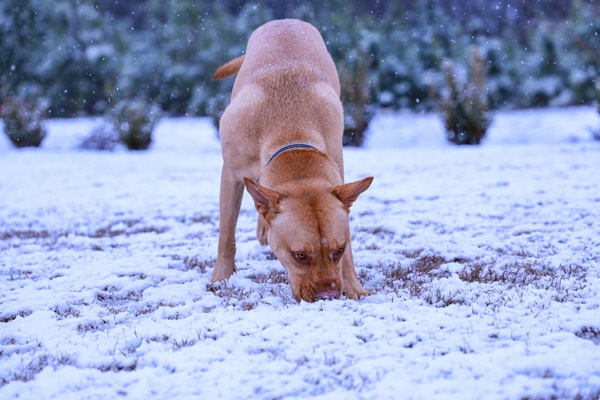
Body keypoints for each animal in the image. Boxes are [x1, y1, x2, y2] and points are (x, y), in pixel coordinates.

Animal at [210, 17, 370, 302]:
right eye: (300, 256)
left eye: (338, 250)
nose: (328, 295)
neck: (289, 131)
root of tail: (284, 20)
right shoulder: (230, 174)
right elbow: (226, 232)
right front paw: (222, 276)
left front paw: (354, 286)